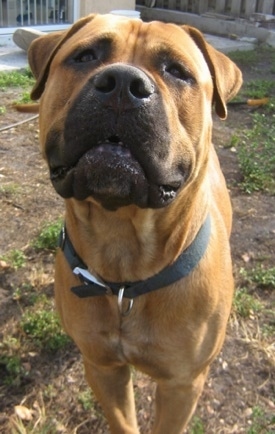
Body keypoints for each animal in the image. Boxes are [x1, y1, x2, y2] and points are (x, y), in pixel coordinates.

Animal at [27, 14, 243, 434]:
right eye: (85, 56)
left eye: (177, 71)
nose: (123, 84)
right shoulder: (102, 367)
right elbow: (122, 420)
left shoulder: (182, 385)